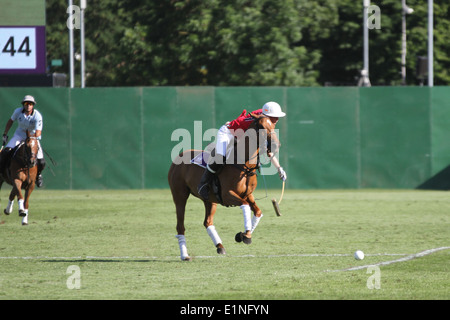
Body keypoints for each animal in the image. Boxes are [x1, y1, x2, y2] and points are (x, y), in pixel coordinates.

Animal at [169, 114, 282, 262]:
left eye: (273, 125)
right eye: (262, 126)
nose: (276, 145)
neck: (244, 165)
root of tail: (178, 157)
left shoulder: (248, 194)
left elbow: (258, 212)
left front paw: (244, 234)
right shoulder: (228, 195)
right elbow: (245, 206)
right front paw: (245, 236)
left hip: (210, 200)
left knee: (207, 222)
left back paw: (220, 246)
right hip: (180, 195)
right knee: (180, 225)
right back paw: (185, 255)